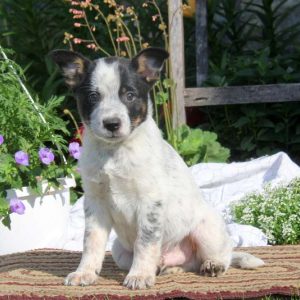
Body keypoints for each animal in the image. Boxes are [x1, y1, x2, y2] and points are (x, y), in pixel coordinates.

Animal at [50, 48, 264, 290]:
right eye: (94, 97)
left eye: (130, 95)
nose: (112, 124)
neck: (116, 152)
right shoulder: (95, 201)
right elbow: (91, 242)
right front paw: (84, 273)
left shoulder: (149, 202)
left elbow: (145, 242)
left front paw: (140, 276)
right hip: (119, 250)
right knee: (183, 264)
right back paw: (167, 269)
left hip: (207, 230)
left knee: (222, 254)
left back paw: (212, 265)